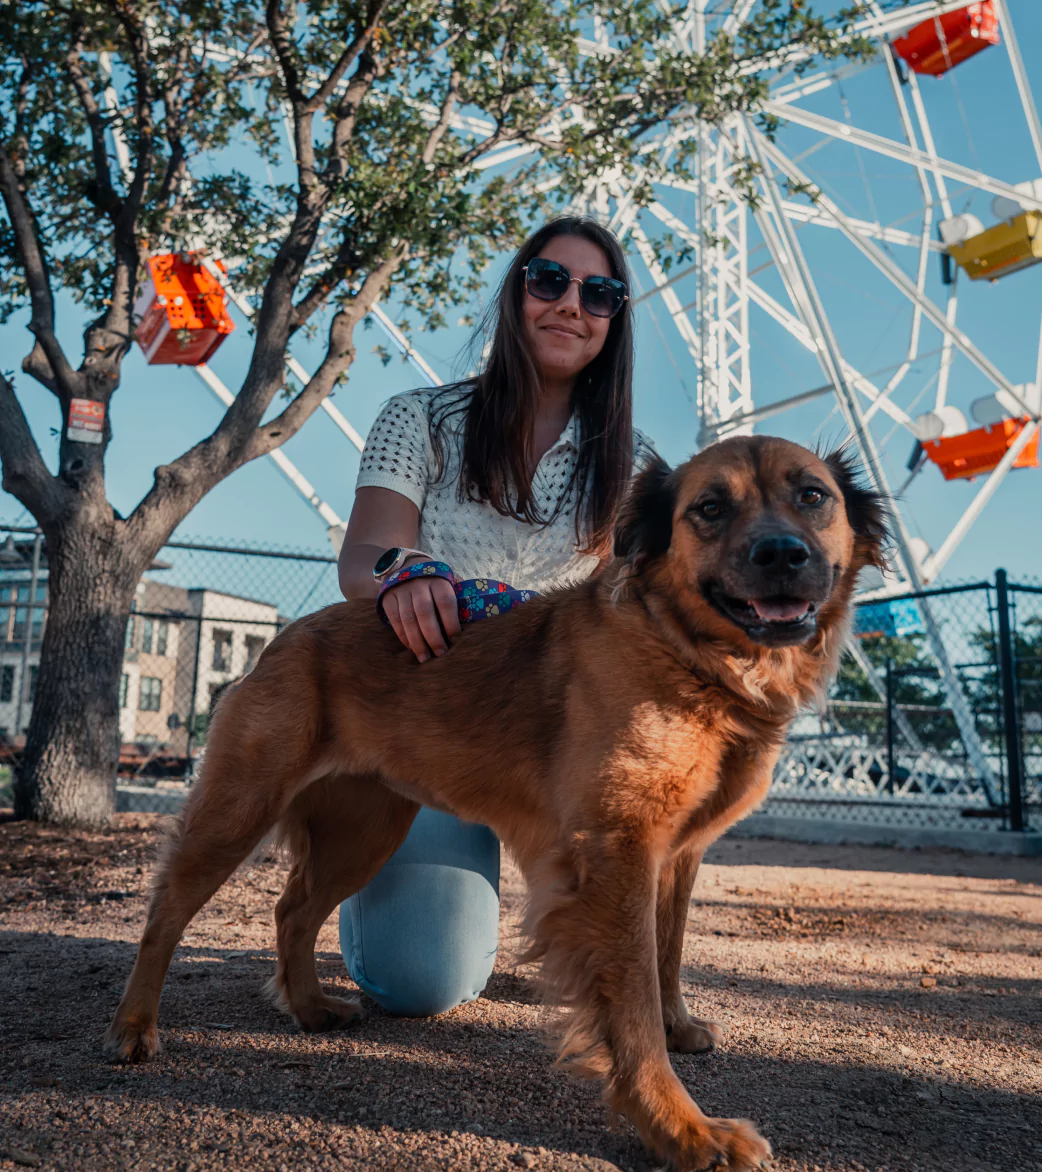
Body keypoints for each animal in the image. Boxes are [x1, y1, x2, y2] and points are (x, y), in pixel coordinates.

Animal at [105, 435, 886, 1167]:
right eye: (711, 508)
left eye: (812, 496)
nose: (782, 554)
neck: (694, 660)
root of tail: (288, 635)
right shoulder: (617, 854)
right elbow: (632, 1003)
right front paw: (682, 1129)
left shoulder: (678, 854)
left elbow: (667, 957)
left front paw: (679, 1029)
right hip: (241, 807)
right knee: (167, 911)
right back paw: (135, 1027)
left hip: (367, 831)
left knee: (292, 909)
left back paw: (309, 1009)